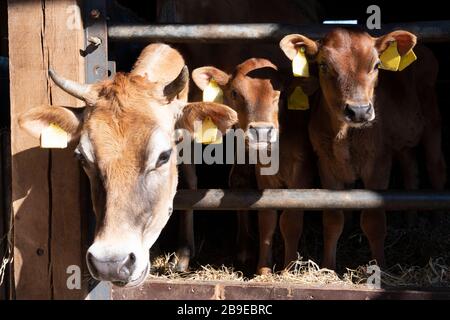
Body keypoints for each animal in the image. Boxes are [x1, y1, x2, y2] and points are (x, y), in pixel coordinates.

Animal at [193, 58, 316, 276]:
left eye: (280, 93)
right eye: (235, 92)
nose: (262, 131)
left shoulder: (302, 173)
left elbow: (290, 220)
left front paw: (288, 270)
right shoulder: (263, 173)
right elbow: (266, 218)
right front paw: (263, 269)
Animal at [282, 28, 446, 270]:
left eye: (376, 65)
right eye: (323, 65)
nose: (358, 111)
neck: (343, 135)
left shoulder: (378, 163)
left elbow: (374, 222)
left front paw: (381, 268)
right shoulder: (326, 164)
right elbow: (332, 219)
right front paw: (329, 267)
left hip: (433, 121)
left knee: (435, 168)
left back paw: (436, 223)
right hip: (402, 142)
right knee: (410, 171)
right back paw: (411, 221)